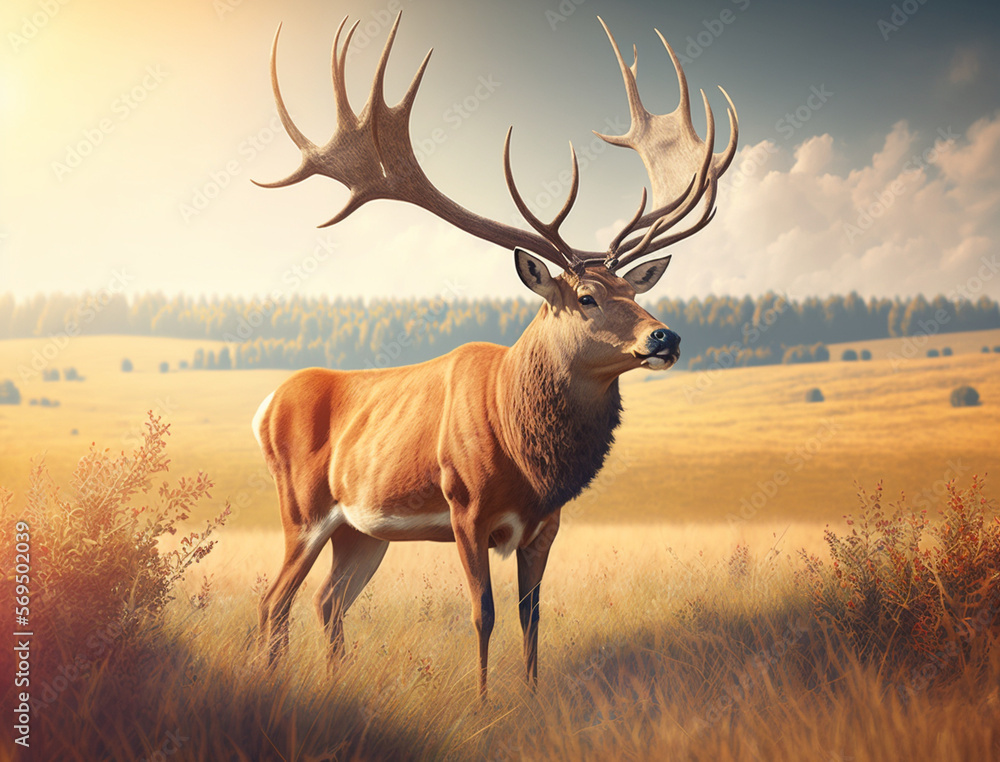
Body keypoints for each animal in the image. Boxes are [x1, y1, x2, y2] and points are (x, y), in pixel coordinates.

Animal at [252, 12, 737, 697]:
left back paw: (333, 682)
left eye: (637, 291)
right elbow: (482, 613)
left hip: (360, 531)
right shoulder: (465, 508)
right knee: (276, 600)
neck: (524, 451)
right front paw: (484, 703)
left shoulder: (547, 524)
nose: (664, 337)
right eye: (586, 297)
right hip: (302, 508)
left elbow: (532, 616)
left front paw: (530, 698)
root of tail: (266, 405)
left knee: (326, 601)